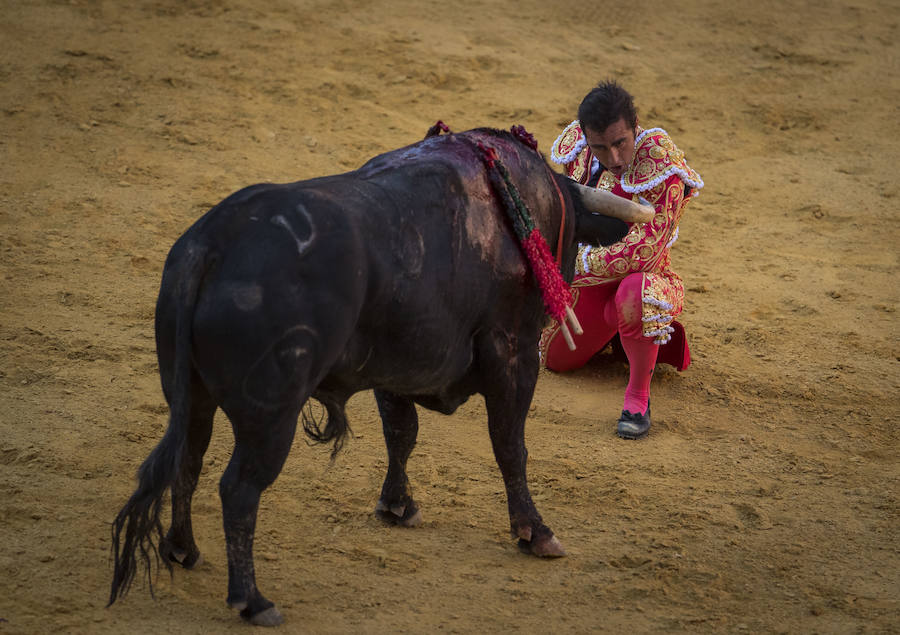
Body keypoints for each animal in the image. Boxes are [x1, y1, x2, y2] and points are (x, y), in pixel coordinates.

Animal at [107, 125, 652, 628]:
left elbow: (401, 433)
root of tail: (211, 245)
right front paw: (534, 531)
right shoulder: (512, 354)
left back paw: (183, 549)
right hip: (270, 418)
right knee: (238, 489)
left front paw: (397, 506)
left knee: (188, 459)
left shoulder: (398, 364)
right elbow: (509, 445)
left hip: (192, 397)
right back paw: (253, 600)